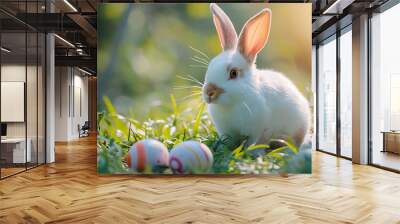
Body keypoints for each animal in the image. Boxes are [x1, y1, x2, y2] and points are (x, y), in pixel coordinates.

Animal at [202, 3, 310, 147]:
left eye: (233, 73)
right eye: (210, 66)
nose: (209, 92)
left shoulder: (257, 129)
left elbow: (253, 142)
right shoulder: (226, 131)